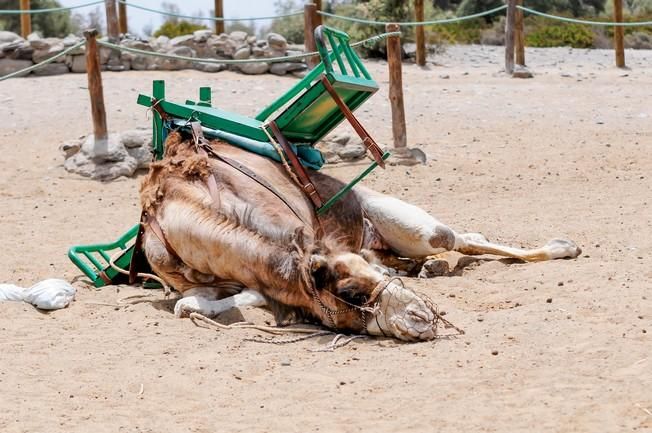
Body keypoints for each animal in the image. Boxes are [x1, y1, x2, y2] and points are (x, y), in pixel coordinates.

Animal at [139, 130, 580, 340]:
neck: (182, 206)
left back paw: (564, 247)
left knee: (455, 236)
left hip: (403, 219)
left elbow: (251, 293)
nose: (421, 316)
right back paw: (427, 269)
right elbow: (187, 303)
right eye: (350, 292)